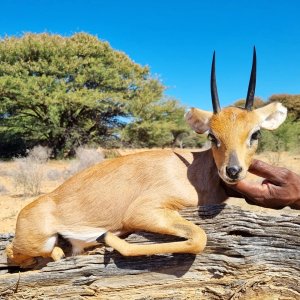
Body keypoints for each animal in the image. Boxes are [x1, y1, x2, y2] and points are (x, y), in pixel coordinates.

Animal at [7, 48, 288, 268]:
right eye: (212, 136)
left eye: (255, 133)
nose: (232, 171)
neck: (197, 172)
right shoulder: (144, 212)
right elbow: (199, 238)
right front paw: (106, 238)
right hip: (38, 242)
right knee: (19, 254)